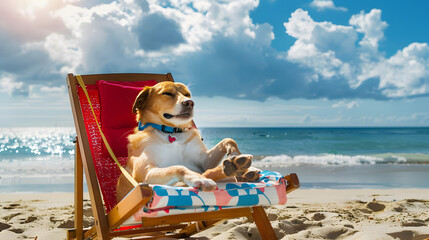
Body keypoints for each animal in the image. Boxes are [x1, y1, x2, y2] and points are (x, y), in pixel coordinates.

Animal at [115, 81, 260, 202]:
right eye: (167, 93)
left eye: (187, 94)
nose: (190, 102)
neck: (172, 133)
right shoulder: (146, 173)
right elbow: (179, 167)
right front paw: (198, 178)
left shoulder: (204, 161)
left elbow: (228, 139)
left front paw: (235, 153)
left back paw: (240, 167)